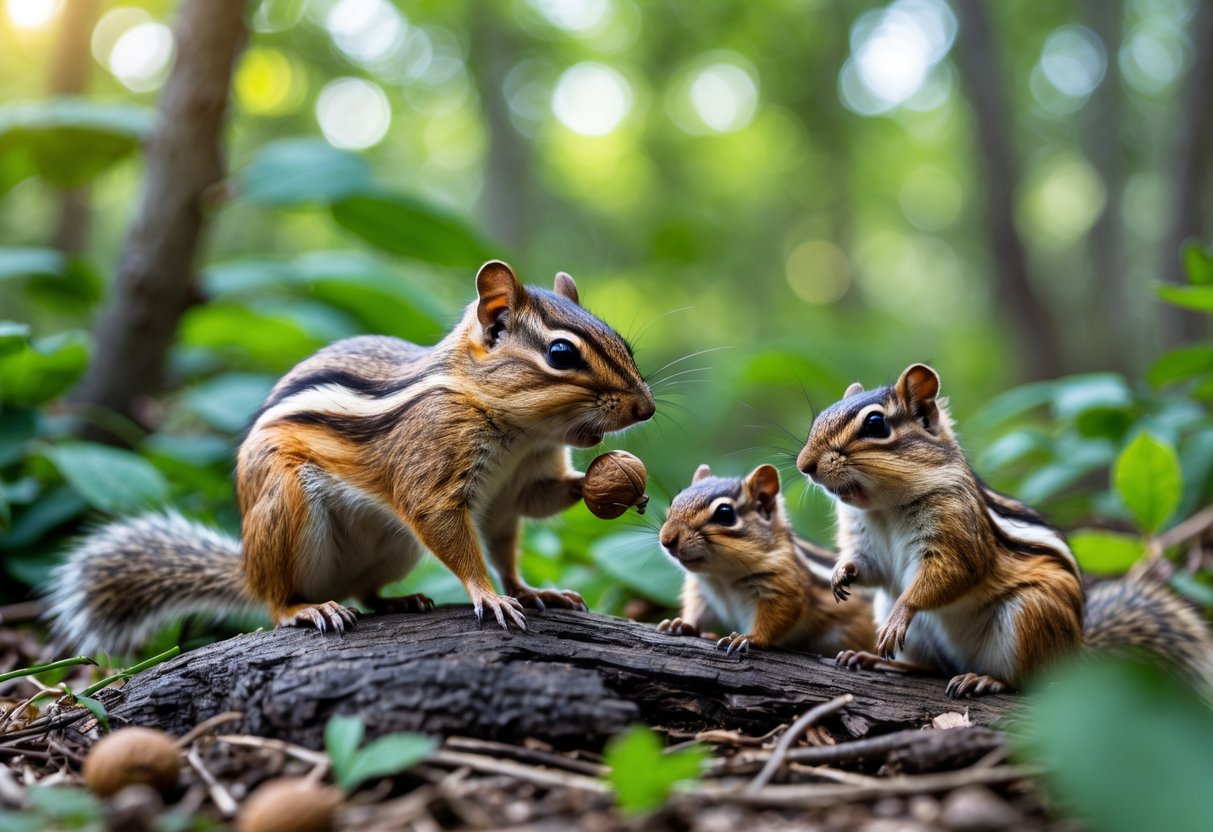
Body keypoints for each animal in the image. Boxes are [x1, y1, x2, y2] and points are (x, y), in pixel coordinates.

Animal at [47, 261, 655, 655]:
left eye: (623, 343)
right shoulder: (433, 472)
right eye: (561, 353)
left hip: (395, 548)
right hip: (286, 508)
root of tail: (246, 566)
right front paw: (489, 596)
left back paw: (398, 602)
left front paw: (537, 581)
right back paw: (306, 609)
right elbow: (452, 534)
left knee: (365, 590)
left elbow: (522, 529)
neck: (522, 431)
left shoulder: (513, 491)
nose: (646, 408)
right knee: (274, 601)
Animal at [657, 463, 875, 656]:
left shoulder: (783, 587)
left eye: (725, 513)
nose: (666, 540)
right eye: (674, 501)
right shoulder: (701, 591)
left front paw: (750, 638)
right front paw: (682, 624)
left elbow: (777, 616)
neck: (722, 576)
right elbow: (697, 611)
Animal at [796, 363, 1213, 698]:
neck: (884, 507)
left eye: (875, 424)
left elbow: (949, 575)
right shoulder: (865, 541)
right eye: (818, 420)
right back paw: (878, 660)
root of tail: (1074, 656)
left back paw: (985, 679)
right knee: (930, 666)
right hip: (912, 627)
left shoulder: (959, 531)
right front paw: (841, 574)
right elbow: (871, 568)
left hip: (1029, 615)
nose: (804, 465)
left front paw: (903, 610)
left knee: (1025, 682)